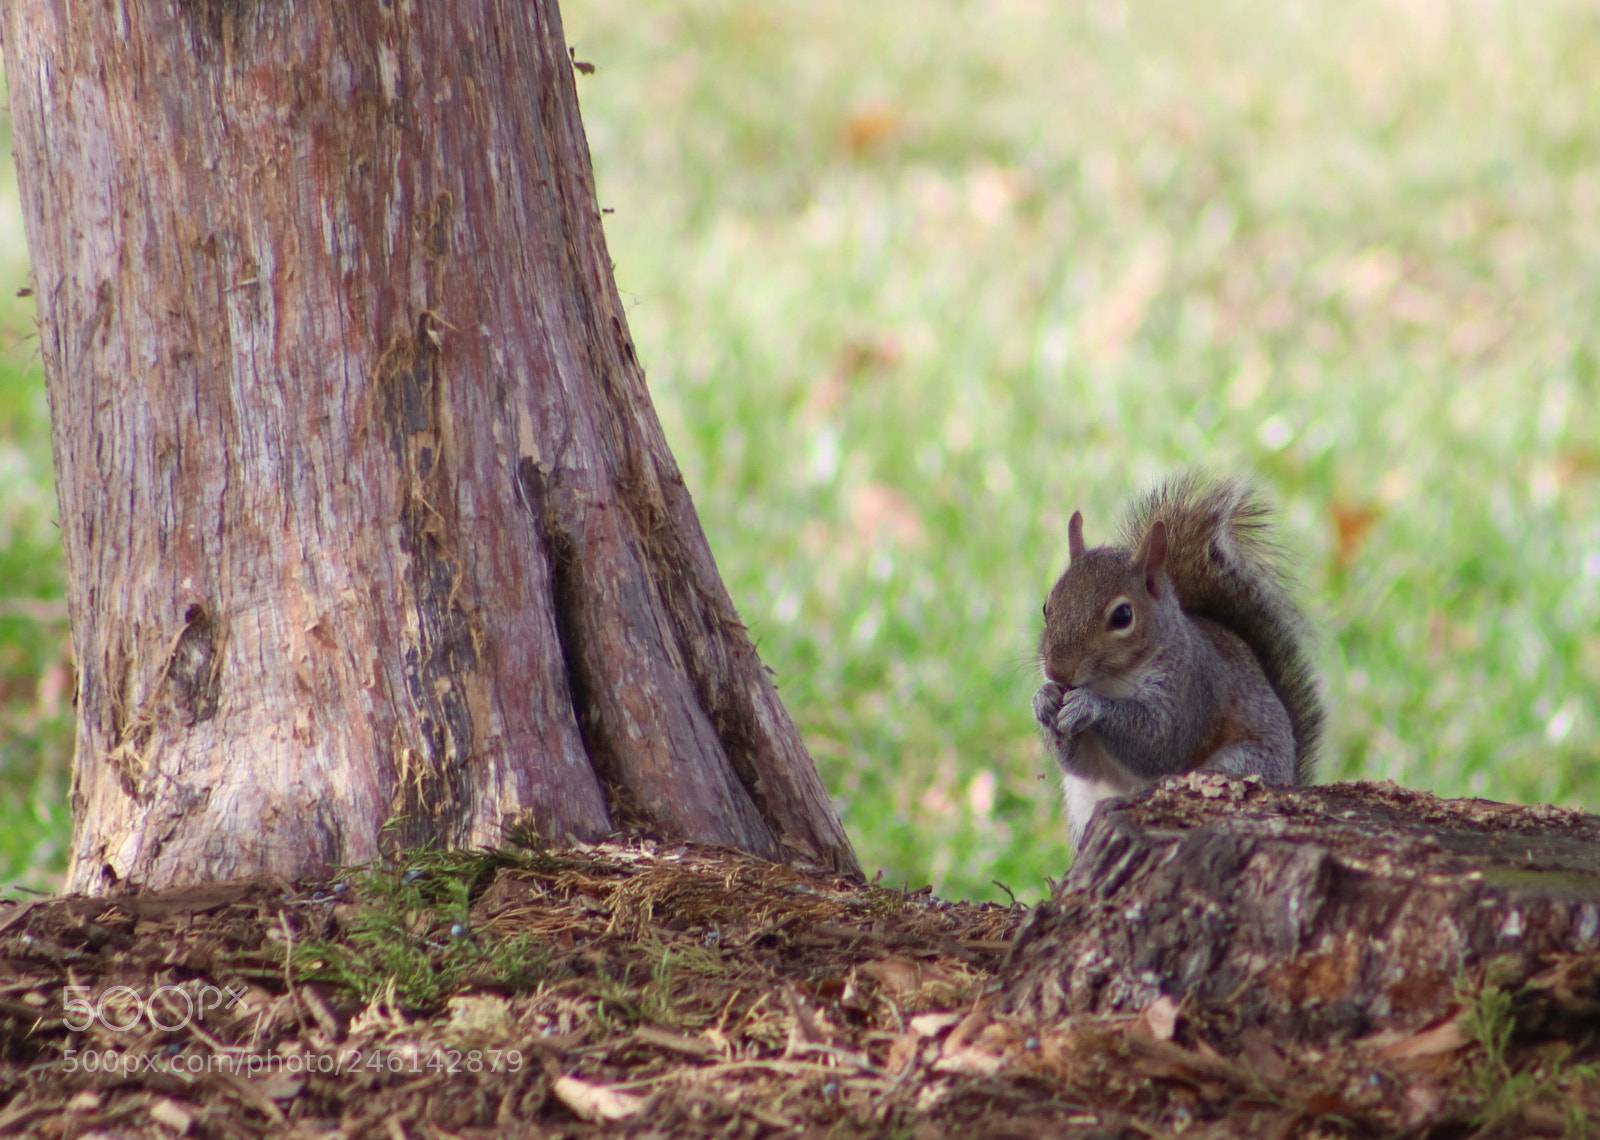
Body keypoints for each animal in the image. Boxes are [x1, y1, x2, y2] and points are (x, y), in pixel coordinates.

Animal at [1036, 473, 1324, 845]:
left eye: (1122, 616)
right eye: (1047, 606)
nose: (1057, 671)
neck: (1110, 680)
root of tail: (1291, 778)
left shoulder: (1190, 688)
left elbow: (1161, 740)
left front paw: (1089, 705)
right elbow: (1078, 764)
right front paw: (1043, 700)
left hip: (1241, 764)